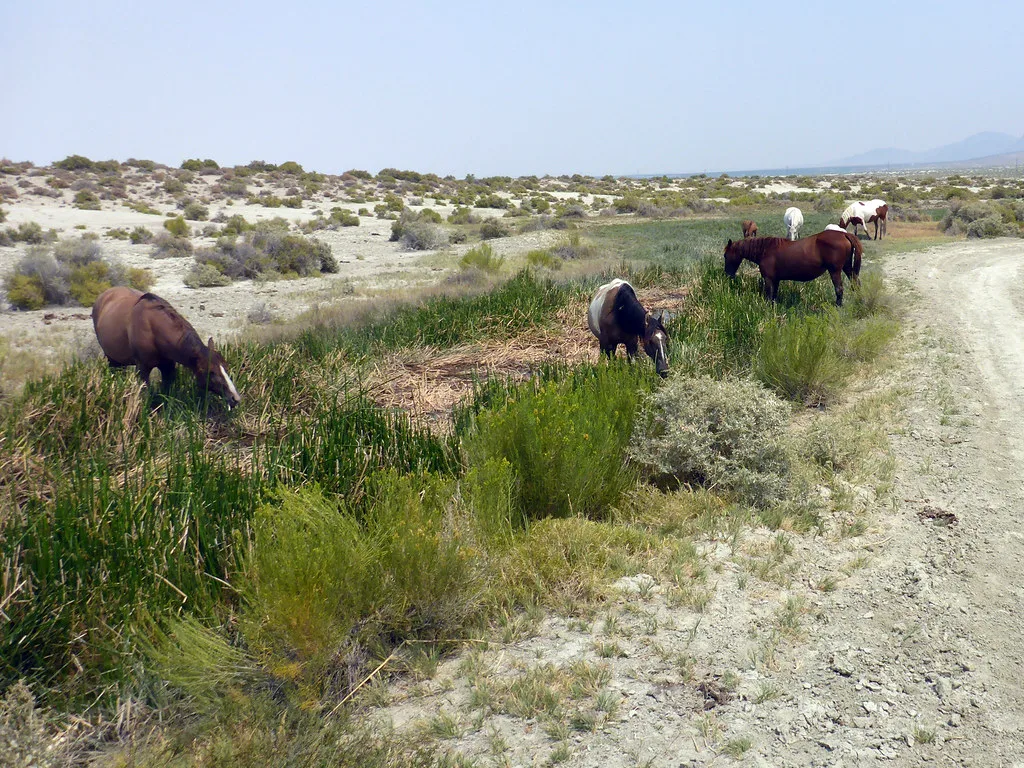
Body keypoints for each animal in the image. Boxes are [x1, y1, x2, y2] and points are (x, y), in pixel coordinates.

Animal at [92, 286, 241, 407]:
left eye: (226, 367)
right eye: (211, 372)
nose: (235, 398)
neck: (153, 329)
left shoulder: (168, 368)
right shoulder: (142, 369)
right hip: (111, 359)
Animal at [723, 230, 863, 306]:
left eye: (725, 255)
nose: (728, 274)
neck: (765, 250)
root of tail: (844, 235)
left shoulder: (768, 279)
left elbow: (769, 296)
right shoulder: (776, 280)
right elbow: (774, 296)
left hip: (835, 271)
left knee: (839, 289)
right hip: (846, 268)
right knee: (856, 283)